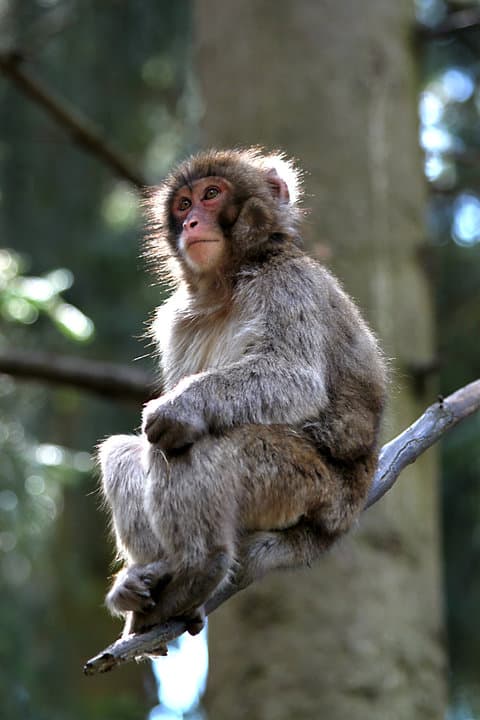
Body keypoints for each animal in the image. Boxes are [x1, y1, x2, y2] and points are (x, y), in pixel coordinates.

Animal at [98, 147, 387, 641]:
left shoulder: (289, 284)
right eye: (183, 205)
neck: (228, 282)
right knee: (125, 450)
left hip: (303, 486)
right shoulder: (176, 319)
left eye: (212, 194)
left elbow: (294, 376)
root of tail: (340, 519)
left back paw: (200, 567)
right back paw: (154, 583)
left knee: (192, 444)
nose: (192, 222)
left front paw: (181, 408)